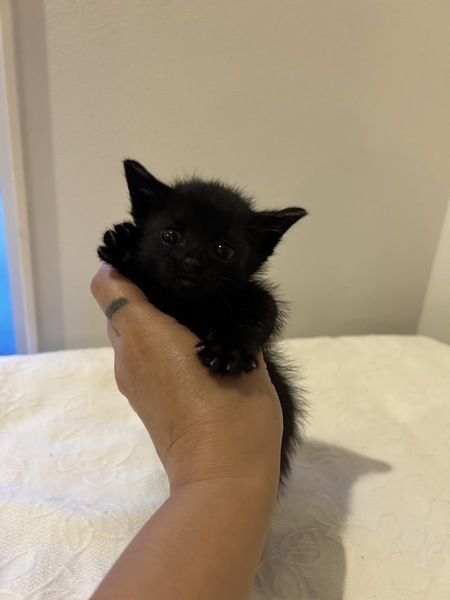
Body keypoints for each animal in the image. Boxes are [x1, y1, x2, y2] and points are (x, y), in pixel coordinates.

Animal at [98, 159, 307, 483]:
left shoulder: (252, 295)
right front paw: (124, 245)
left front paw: (228, 350)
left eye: (224, 250)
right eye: (170, 236)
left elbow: (264, 311)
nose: (191, 261)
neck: (192, 305)